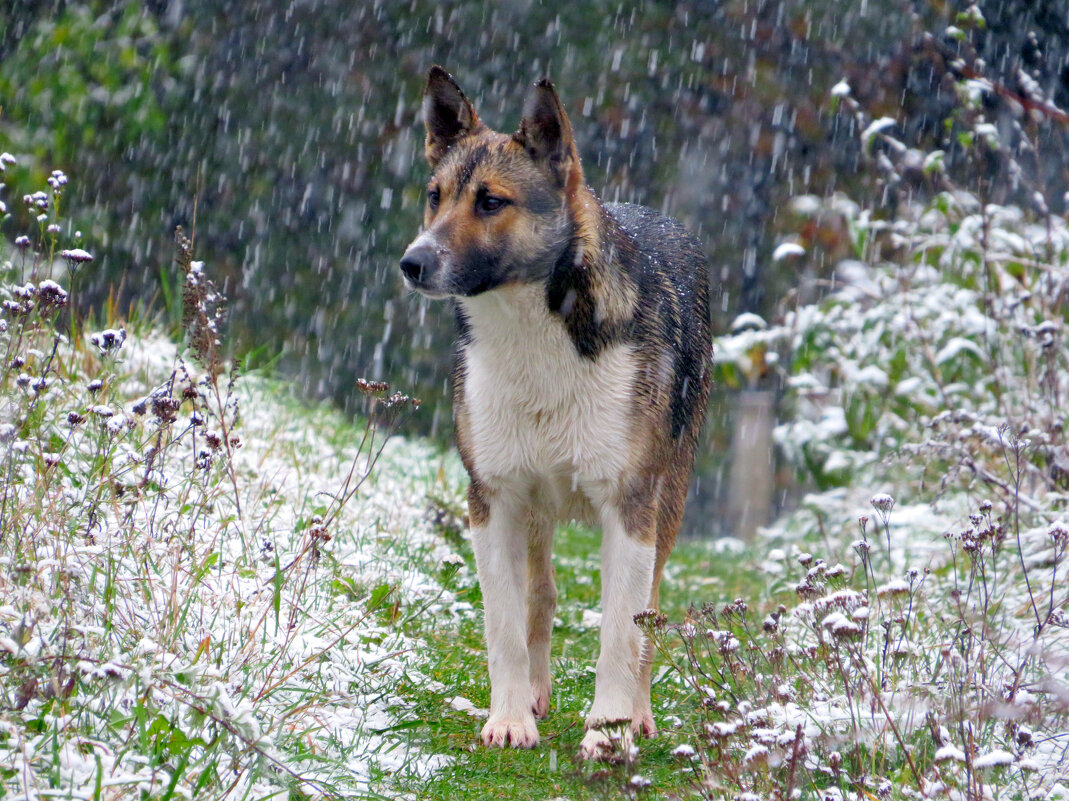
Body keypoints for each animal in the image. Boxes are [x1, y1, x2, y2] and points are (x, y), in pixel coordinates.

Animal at [401, 67, 709, 757]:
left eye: (491, 202)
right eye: (435, 196)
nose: (412, 262)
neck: (534, 334)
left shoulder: (631, 503)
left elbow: (623, 630)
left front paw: (609, 731)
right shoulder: (493, 498)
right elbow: (505, 624)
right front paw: (511, 718)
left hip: (671, 498)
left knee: (650, 612)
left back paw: (638, 716)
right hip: (535, 506)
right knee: (539, 597)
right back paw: (537, 696)